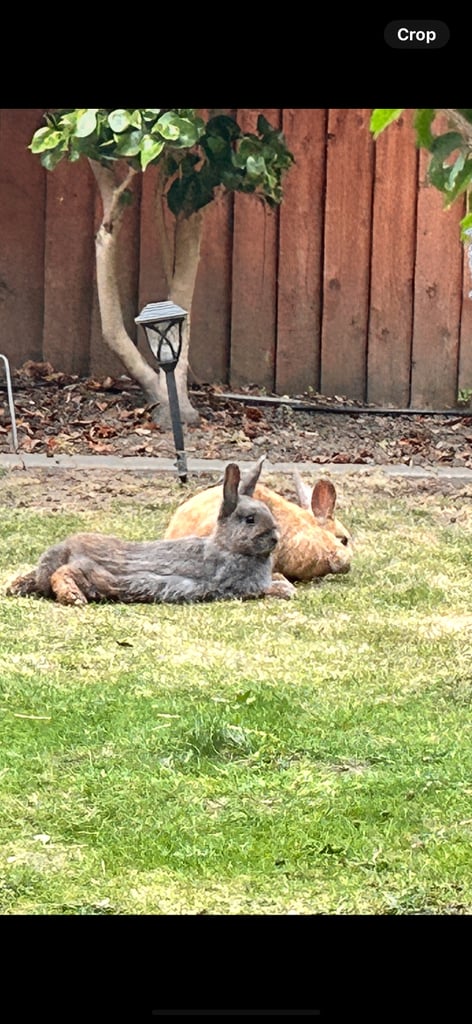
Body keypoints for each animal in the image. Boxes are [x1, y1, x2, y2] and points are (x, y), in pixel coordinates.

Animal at [6, 462, 296, 605]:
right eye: (250, 520)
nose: (275, 539)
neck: (227, 547)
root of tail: (64, 549)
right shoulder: (238, 585)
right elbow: (265, 589)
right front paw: (286, 591)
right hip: (101, 576)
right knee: (64, 573)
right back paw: (74, 598)